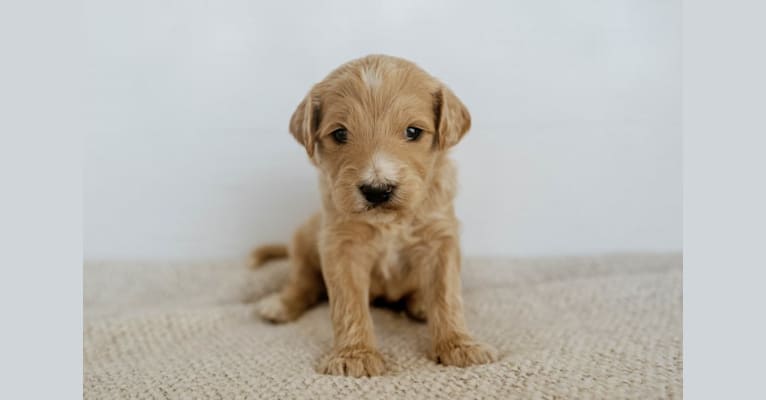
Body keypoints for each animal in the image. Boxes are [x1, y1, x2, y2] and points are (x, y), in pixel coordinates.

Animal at [255, 54, 498, 376]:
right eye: (340, 133)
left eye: (413, 131)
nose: (377, 190)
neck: (390, 221)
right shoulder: (341, 242)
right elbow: (348, 303)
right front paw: (354, 354)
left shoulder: (440, 237)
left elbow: (447, 294)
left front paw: (460, 345)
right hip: (304, 236)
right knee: (304, 281)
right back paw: (281, 304)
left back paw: (421, 303)